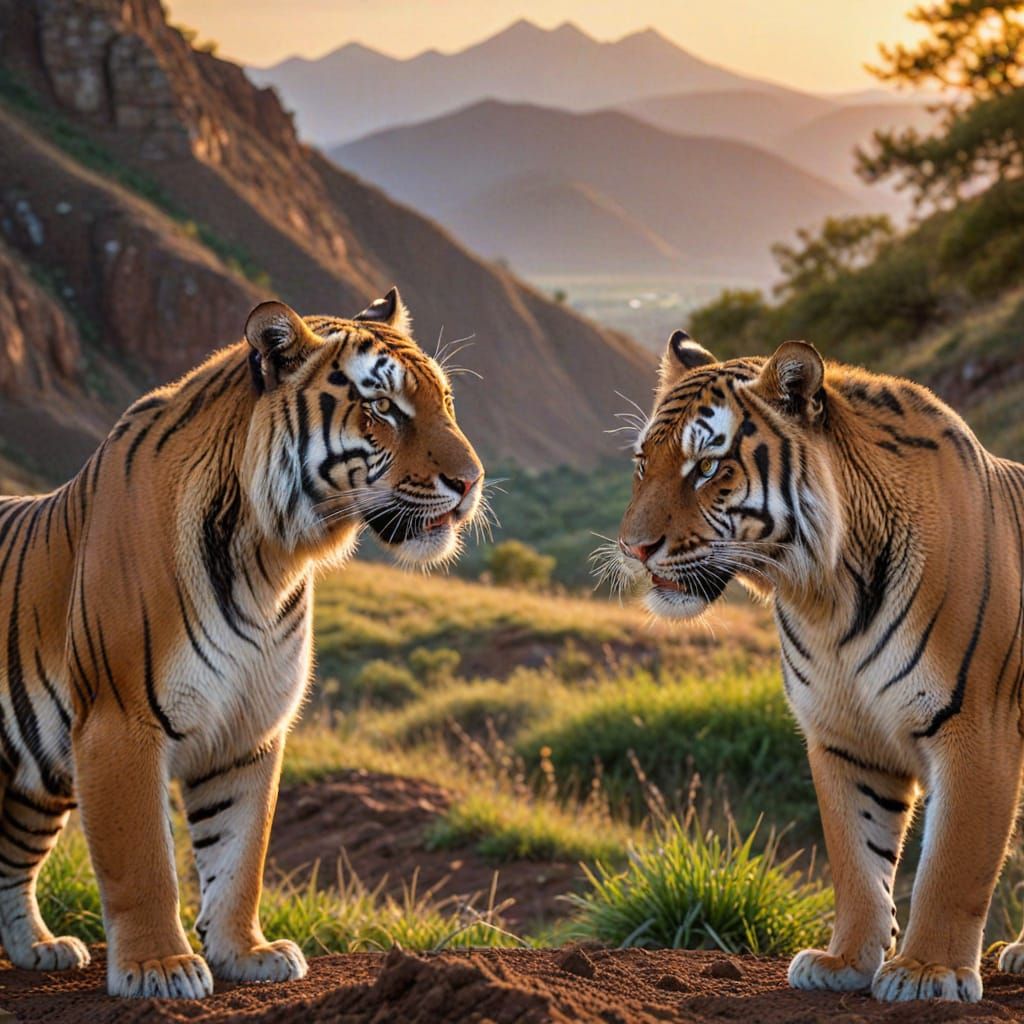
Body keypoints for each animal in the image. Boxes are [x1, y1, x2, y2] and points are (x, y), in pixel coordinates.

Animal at [0, 287, 483, 998]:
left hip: (37, 777)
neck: (269, 556)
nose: (472, 481)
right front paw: (160, 967)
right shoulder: (119, 724)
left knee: (12, 857)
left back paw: (39, 948)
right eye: (382, 407)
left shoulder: (248, 729)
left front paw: (245, 953)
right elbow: (144, 860)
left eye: (445, 401)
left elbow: (239, 854)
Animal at [610, 329, 1024, 1003]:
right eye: (644, 462)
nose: (633, 549)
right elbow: (857, 860)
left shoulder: (975, 728)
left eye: (708, 467)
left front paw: (926, 972)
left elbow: (952, 865)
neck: (827, 598)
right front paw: (845, 962)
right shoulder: (843, 736)